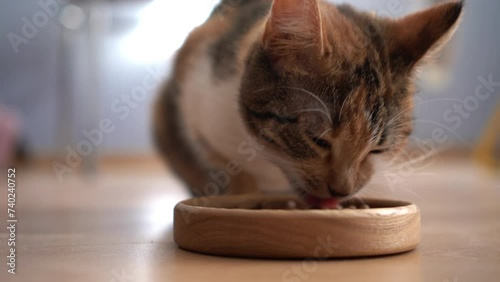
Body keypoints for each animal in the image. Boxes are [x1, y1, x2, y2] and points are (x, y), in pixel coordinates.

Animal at [153, 0, 464, 207]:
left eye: (378, 150)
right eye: (318, 140)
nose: (342, 191)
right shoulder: (197, 90)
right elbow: (222, 162)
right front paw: (242, 191)